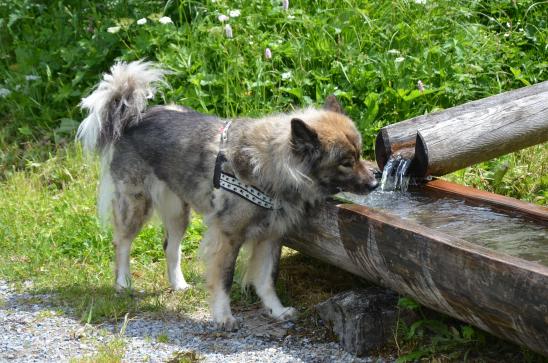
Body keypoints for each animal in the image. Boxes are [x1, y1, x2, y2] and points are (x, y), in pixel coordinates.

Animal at [78, 61, 376, 332]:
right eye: (345, 163)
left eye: (359, 154)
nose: (374, 182)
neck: (273, 165)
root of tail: (133, 118)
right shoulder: (228, 236)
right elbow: (225, 279)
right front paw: (223, 317)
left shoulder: (271, 237)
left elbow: (266, 280)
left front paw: (276, 311)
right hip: (136, 204)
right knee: (122, 243)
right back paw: (123, 283)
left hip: (178, 212)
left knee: (170, 247)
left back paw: (179, 284)